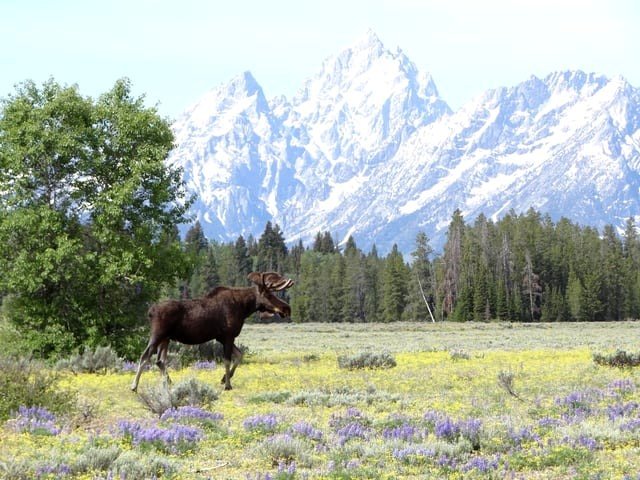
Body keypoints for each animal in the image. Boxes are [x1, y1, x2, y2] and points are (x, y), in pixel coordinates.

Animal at [130, 271, 293, 392]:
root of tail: (150, 312)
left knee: (160, 361)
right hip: (157, 335)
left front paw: (223, 379)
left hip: (166, 338)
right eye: (269, 295)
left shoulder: (222, 337)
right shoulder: (228, 335)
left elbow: (239, 355)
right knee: (145, 356)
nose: (287, 308)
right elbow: (227, 360)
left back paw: (168, 383)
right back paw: (134, 386)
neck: (244, 308)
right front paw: (227, 385)